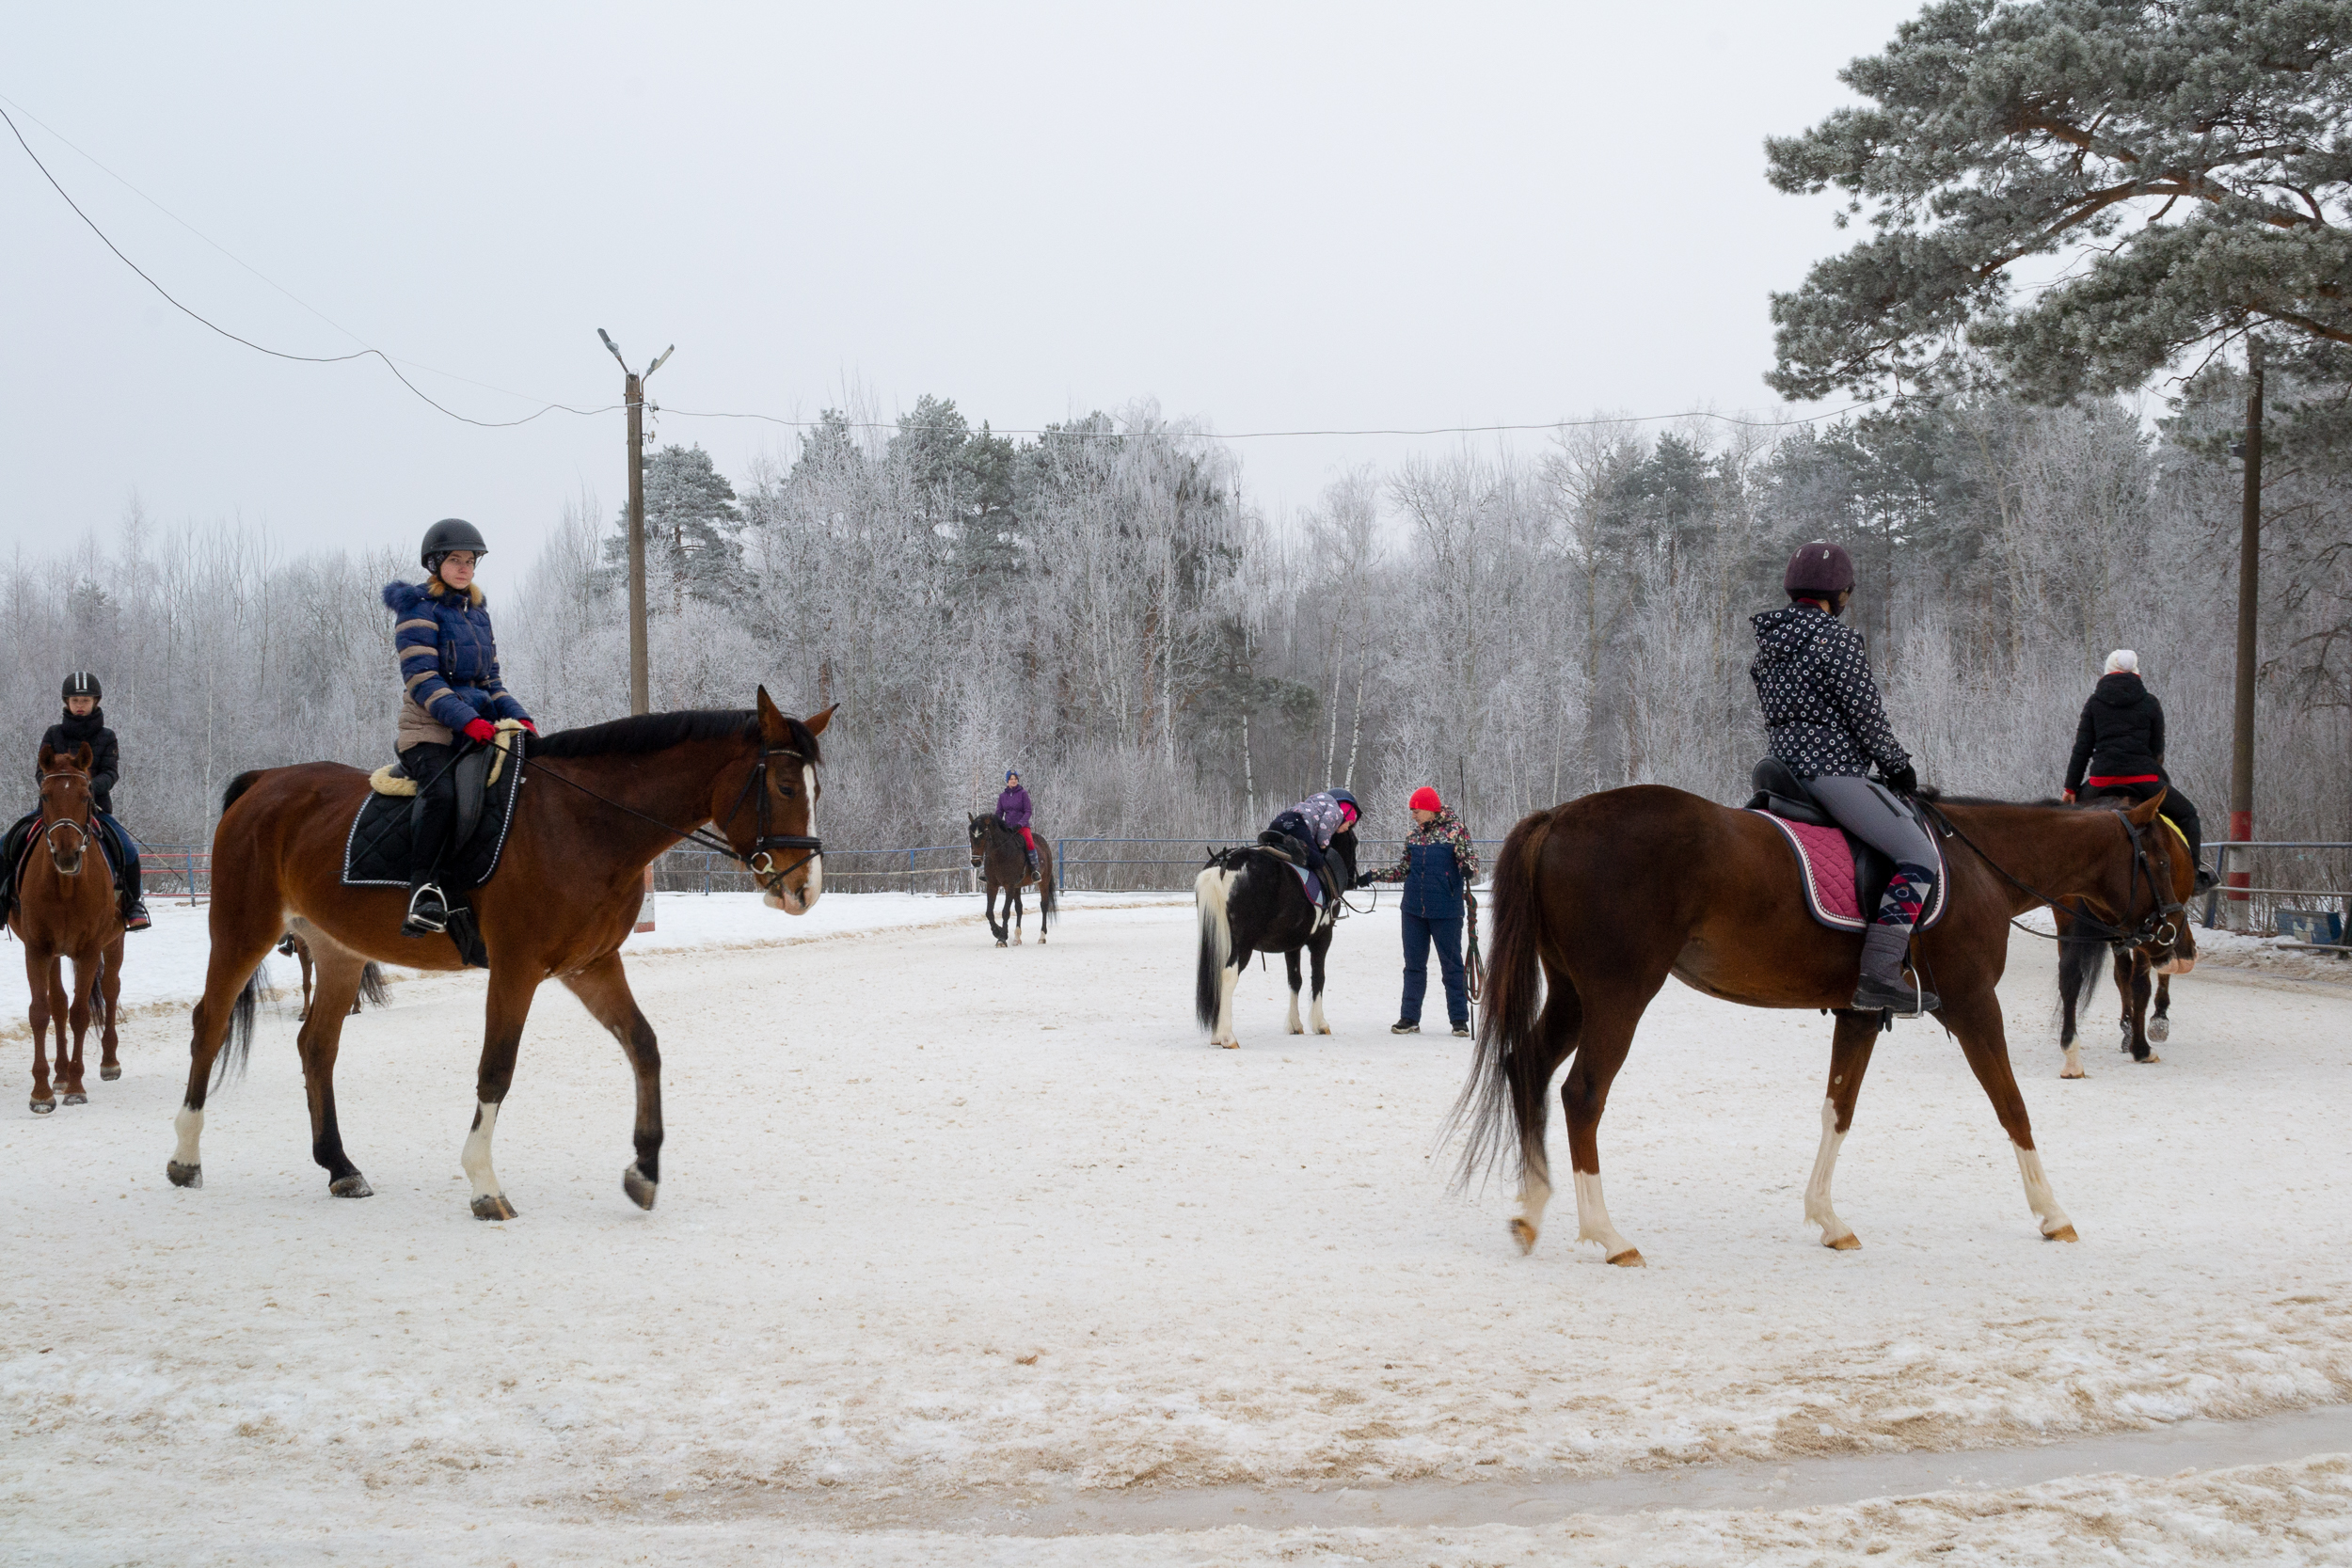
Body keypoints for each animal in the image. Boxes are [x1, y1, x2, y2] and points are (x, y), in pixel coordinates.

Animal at [10, 747, 123, 1114]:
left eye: (87, 795)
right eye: (45, 795)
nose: (67, 854)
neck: (65, 886)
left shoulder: (88, 950)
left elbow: (80, 1013)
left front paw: (76, 1086)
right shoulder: (37, 949)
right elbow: (41, 1012)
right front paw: (43, 1092)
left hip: (114, 942)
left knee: (112, 989)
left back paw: (108, 1062)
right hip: (57, 953)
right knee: (58, 1003)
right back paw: (58, 1076)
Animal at [167, 690, 828, 1222]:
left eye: (815, 789)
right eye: (786, 787)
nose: (804, 892)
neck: (586, 823)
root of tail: (266, 782)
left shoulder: (590, 966)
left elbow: (644, 1046)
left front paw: (644, 1171)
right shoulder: (517, 967)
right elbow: (497, 1068)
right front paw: (485, 1186)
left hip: (336, 951)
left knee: (316, 1046)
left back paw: (340, 1167)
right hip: (242, 932)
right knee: (210, 1026)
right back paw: (185, 1157)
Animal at [964, 817, 1058, 949]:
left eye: (985, 837)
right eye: (971, 836)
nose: (975, 862)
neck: (1000, 853)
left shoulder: (1009, 885)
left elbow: (1005, 912)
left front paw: (1002, 938)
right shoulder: (992, 885)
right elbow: (989, 912)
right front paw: (998, 931)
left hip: (1043, 882)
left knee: (1044, 905)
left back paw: (1042, 937)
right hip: (1017, 887)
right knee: (1019, 908)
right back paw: (1017, 938)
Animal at [1195, 832, 1364, 1053]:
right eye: (1354, 841)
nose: (1355, 878)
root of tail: (1224, 863)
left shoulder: (1292, 944)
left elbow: (1295, 980)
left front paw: (1295, 1024)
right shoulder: (1322, 938)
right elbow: (1318, 978)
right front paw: (1320, 1023)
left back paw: (1217, 1034)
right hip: (1243, 945)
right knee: (1228, 975)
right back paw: (1226, 1036)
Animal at [1449, 784, 2183, 1259]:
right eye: (2162, 859)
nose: (2173, 940)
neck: (1978, 865)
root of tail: (1559, 816)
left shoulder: (1861, 1012)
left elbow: (1839, 1108)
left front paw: (1828, 1220)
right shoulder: (1975, 1003)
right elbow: (2013, 1105)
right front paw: (2052, 1213)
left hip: (1575, 994)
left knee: (1527, 1066)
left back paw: (1532, 1207)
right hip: (1618, 995)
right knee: (1582, 1094)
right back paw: (1607, 1234)